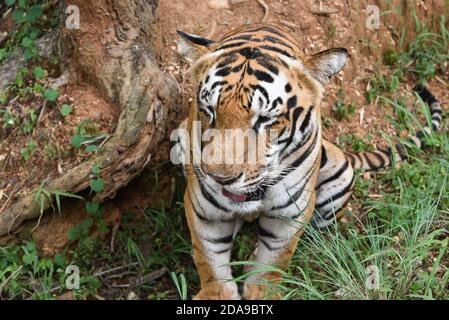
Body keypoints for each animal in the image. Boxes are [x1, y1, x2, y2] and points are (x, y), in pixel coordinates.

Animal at [173, 25, 442, 300]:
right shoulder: (206, 212)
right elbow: (209, 261)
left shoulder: (289, 214)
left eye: (265, 119)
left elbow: (274, 261)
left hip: (338, 182)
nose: (221, 179)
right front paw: (216, 294)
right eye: (209, 110)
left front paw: (263, 291)